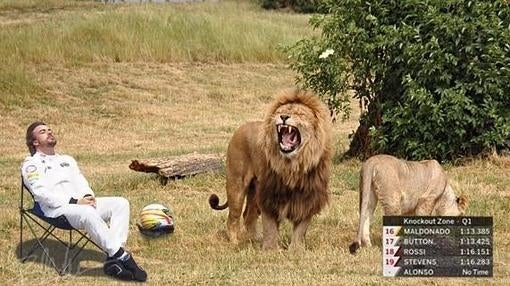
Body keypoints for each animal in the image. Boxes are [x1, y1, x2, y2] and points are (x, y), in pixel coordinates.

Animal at [209, 89, 332, 250]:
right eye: (280, 112)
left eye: (299, 114)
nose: (284, 117)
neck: (292, 166)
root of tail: (241, 127)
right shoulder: (269, 195)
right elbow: (270, 227)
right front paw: (271, 250)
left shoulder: (308, 198)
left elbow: (300, 229)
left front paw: (296, 250)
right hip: (236, 184)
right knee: (233, 217)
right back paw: (235, 242)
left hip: (255, 189)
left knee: (248, 215)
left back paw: (254, 239)